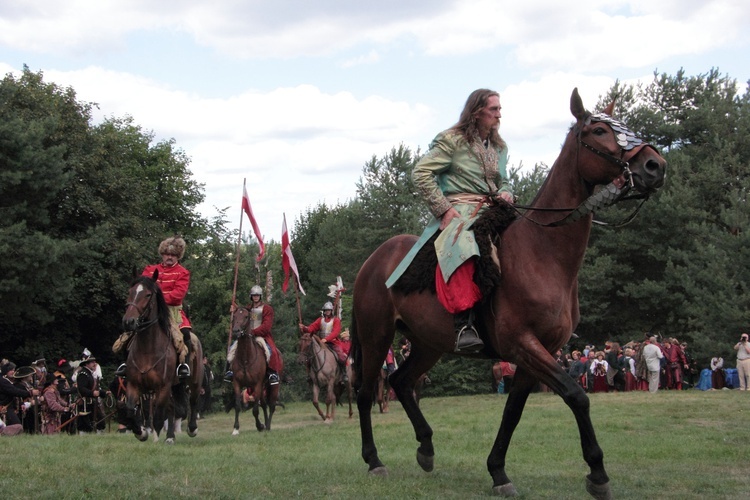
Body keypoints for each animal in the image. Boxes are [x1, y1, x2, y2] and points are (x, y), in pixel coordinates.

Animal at [123, 272, 206, 444]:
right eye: (130, 292)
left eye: (148, 295)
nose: (128, 322)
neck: (147, 350)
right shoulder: (133, 385)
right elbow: (130, 410)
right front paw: (141, 432)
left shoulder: (162, 387)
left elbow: (158, 419)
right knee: (172, 408)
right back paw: (170, 437)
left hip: (194, 381)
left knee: (193, 402)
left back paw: (191, 429)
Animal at [229, 304, 282, 434]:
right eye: (235, 316)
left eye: (246, 316)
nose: (236, 331)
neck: (245, 359)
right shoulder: (237, 383)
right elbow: (237, 406)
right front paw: (236, 428)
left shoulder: (257, 384)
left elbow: (255, 410)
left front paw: (260, 426)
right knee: (264, 404)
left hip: (273, 386)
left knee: (271, 405)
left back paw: (268, 426)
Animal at [350, 88, 668, 498]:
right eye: (599, 130)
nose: (654, 165)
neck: (543, 252)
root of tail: (372, 261)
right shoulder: (523, 345)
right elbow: (576, 395)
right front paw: (597, 473)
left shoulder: (539, 350)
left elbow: (513, 411)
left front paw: (498, 471)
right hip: (376, 336)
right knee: (365, 392)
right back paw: (374, 460)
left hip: (428, 342)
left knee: (401, 382)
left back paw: (426, 448)